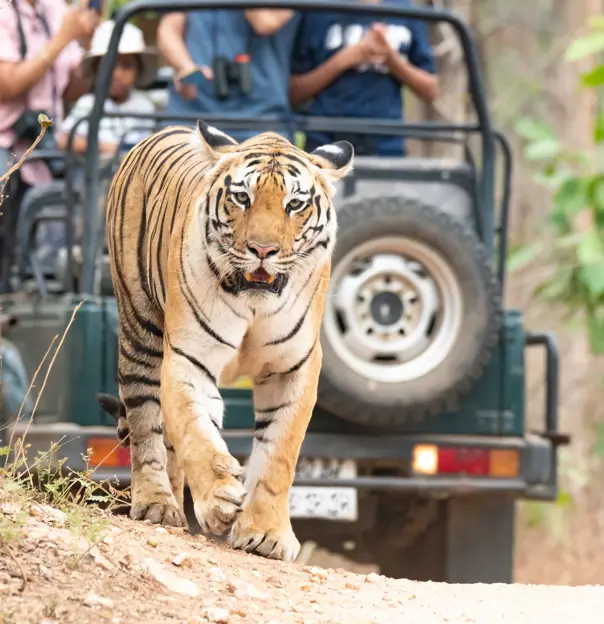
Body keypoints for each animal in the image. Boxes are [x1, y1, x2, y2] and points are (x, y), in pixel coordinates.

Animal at [101, 119, 352, 564]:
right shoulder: (188, 356)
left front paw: (266, 533)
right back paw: (157, 504)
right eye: (242, 198)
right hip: (140, 330)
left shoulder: (294, 368)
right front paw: (219, 500)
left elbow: (278, 455)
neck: (254, 303)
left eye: (295, 204)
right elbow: (195, 431)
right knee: (148, 423)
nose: (263, 250)